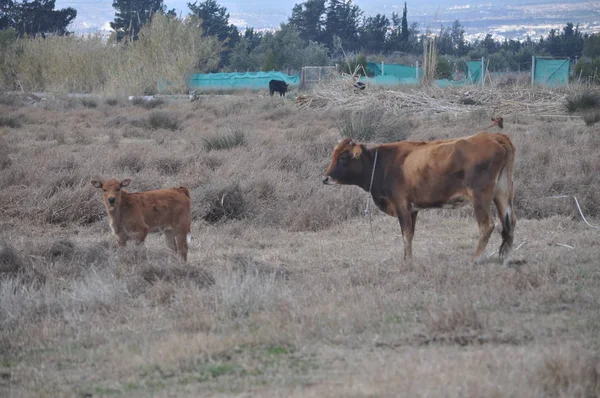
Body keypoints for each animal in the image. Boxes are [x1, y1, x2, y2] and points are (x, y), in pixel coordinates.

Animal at [324, 132, 516, 266]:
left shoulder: (402, 205)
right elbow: (411, 234)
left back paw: (476, 258)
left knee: (487, 225)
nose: (325, 178)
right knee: (510, 222)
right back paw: (506, 258)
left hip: (480, 196)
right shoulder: (413, 209)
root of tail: (493, 136)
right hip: (502, 193)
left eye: (343, 157)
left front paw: (407, 262)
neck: (382, 163)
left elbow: (406, 235)